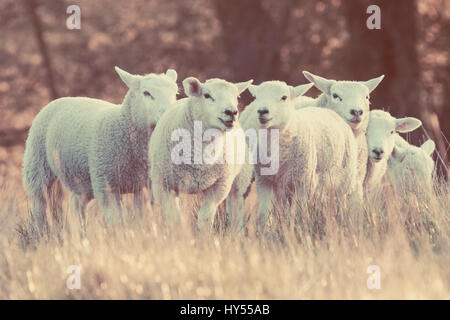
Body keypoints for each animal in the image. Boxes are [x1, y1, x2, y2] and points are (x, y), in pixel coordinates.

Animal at [22, 67, 178, 235]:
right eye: (146, 93)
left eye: (175, 93)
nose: (168, 114)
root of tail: (61, 99)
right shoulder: (106, 188)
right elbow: (118, 222)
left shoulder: (144, 187)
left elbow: (142, 220)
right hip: (37, 166)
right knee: (38, 204)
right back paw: (37, 234)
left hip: (83, 180)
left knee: (76, 206)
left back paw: (80, 236)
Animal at [148, 75, 253, 230]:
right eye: (207, 95)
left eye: (237, 97)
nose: (231, 112)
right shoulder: (162, 184)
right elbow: (174, 218)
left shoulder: (220, 185)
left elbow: (205, 218)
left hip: (239, 181)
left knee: (236, 210)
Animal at [248, 80, 360, 230]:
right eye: (255, 97)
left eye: (284, 97)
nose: (262, 111)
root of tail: (328, 111)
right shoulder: (264, 181)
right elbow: (263, 215)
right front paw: (265, 232)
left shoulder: (304, 182)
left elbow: (299, 212)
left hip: (344, 180)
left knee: (341, 203)